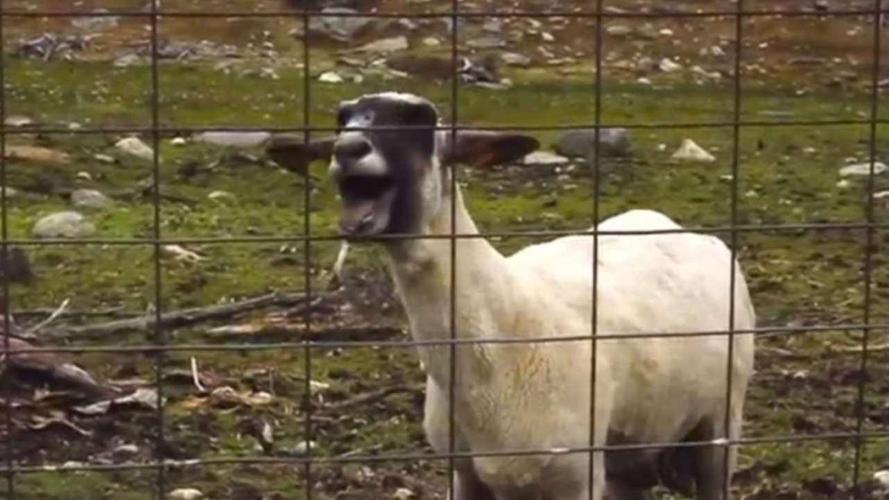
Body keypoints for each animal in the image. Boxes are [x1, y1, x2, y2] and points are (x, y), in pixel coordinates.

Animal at [266, 91, 756, 500]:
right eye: (343, 117)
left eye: (419, 120)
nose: (347, 150)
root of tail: (674, 225)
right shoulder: (465, 474)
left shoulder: (576, 477)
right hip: (631, 446)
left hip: (721, 419)